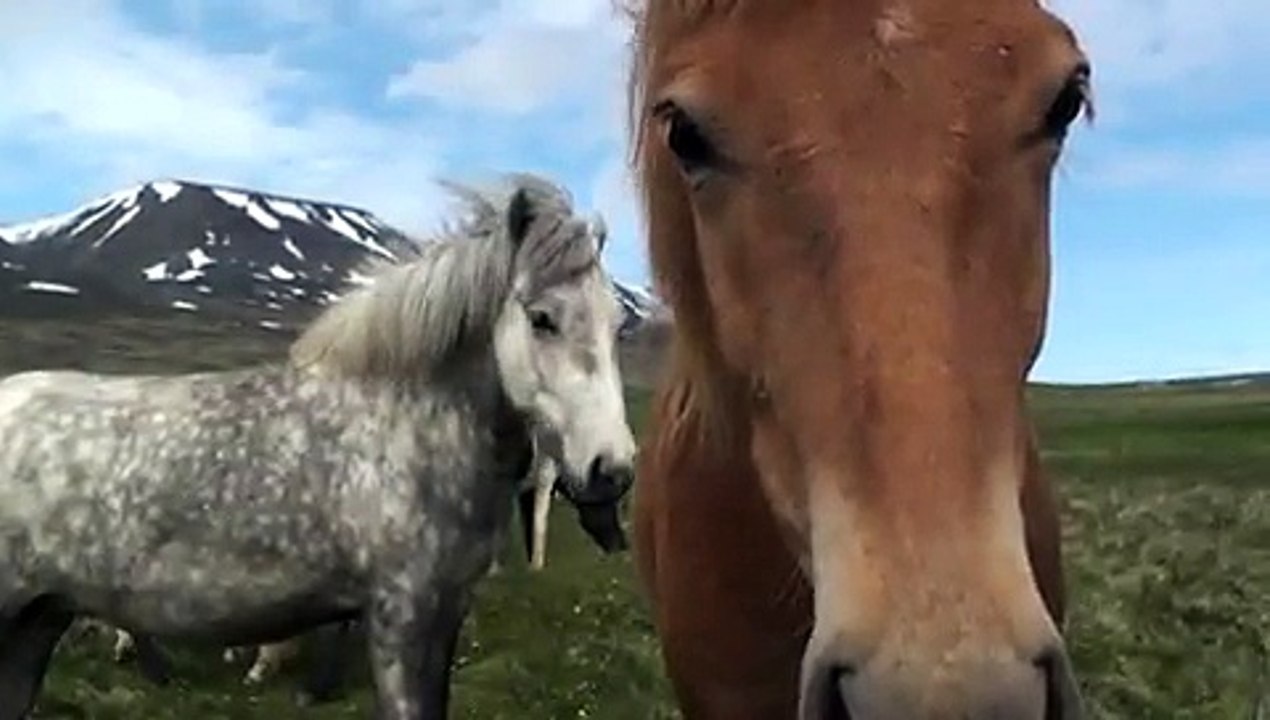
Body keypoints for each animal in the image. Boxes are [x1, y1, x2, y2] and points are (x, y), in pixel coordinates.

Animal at [0, 171, 637, 720]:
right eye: (543, 319)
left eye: (618, 325)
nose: (612, 469)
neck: (406, 429)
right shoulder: (401, 618)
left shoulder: (445, 615)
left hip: (37, 622)